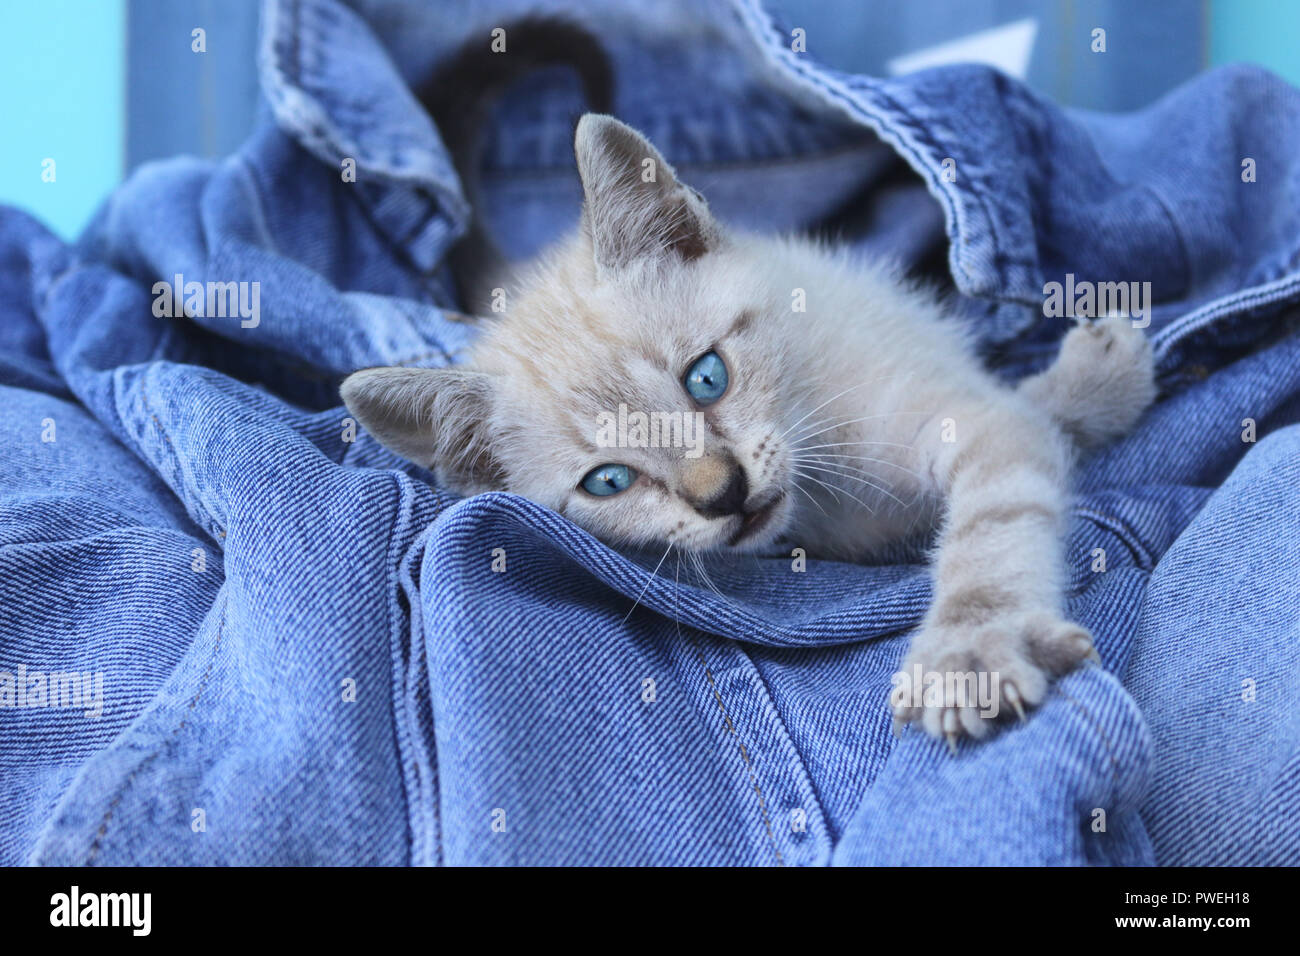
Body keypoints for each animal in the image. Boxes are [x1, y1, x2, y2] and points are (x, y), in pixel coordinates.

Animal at [340, 115, 1154, 749]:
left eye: (707, 377)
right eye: (609, 481)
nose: (722, 494)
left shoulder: (961, 412)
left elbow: (995, 516)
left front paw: (970, 651)